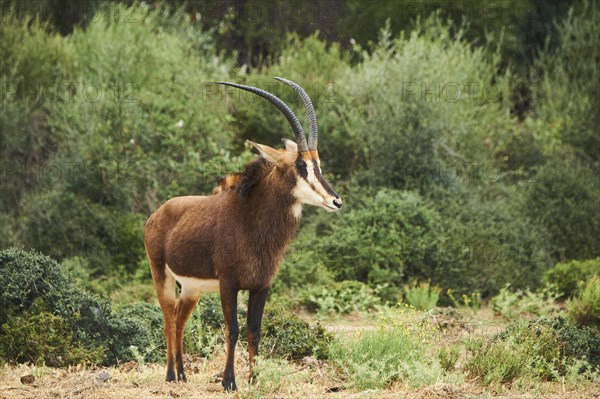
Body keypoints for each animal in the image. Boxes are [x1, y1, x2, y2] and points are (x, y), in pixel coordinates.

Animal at [144, 77, 342, 390]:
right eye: (300, 165)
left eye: (318, 164)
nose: (336, 201)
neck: (251, 219)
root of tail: (158, 212)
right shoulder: (229, 284)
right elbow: (233, 329)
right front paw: (229, 382)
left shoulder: (261, 285)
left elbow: (254, 329)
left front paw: (254, 379)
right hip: (160, 274)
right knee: (167, 318)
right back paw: (171, 376)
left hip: (191, 289)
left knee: (178, 319)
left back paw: (184, 375)